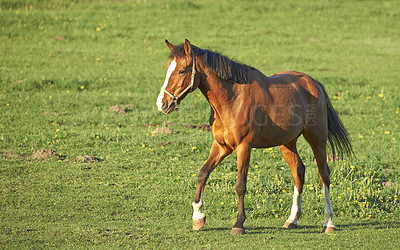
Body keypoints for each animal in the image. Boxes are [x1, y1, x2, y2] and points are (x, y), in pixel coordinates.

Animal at [155, 38, 352, 234]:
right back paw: (292, 220)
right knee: (298, 172)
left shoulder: (244, 147)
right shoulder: (221, 146)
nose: (162, 104)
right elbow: (203, 173)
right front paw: (198, 217)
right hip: (287, 143)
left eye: (182, 71)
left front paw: (238, 224)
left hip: (317, 139)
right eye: (167, 68)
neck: (233, 99)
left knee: (323, 174)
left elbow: (240, 185)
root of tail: (314, 83)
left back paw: (329, 222)